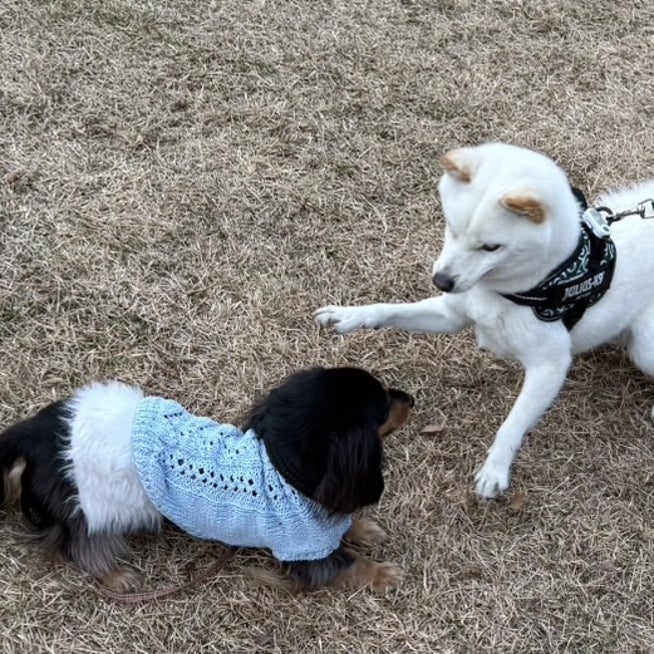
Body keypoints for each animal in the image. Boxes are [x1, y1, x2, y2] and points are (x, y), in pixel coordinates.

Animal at [316, 144, 654, 500]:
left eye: (491, 247)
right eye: (451, 227)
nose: (441, 281)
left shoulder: (549, 366)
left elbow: (512, 423)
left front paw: (495, 469)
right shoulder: (451, 315)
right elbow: (390, 310)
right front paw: (352, 314)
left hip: (644, 346)